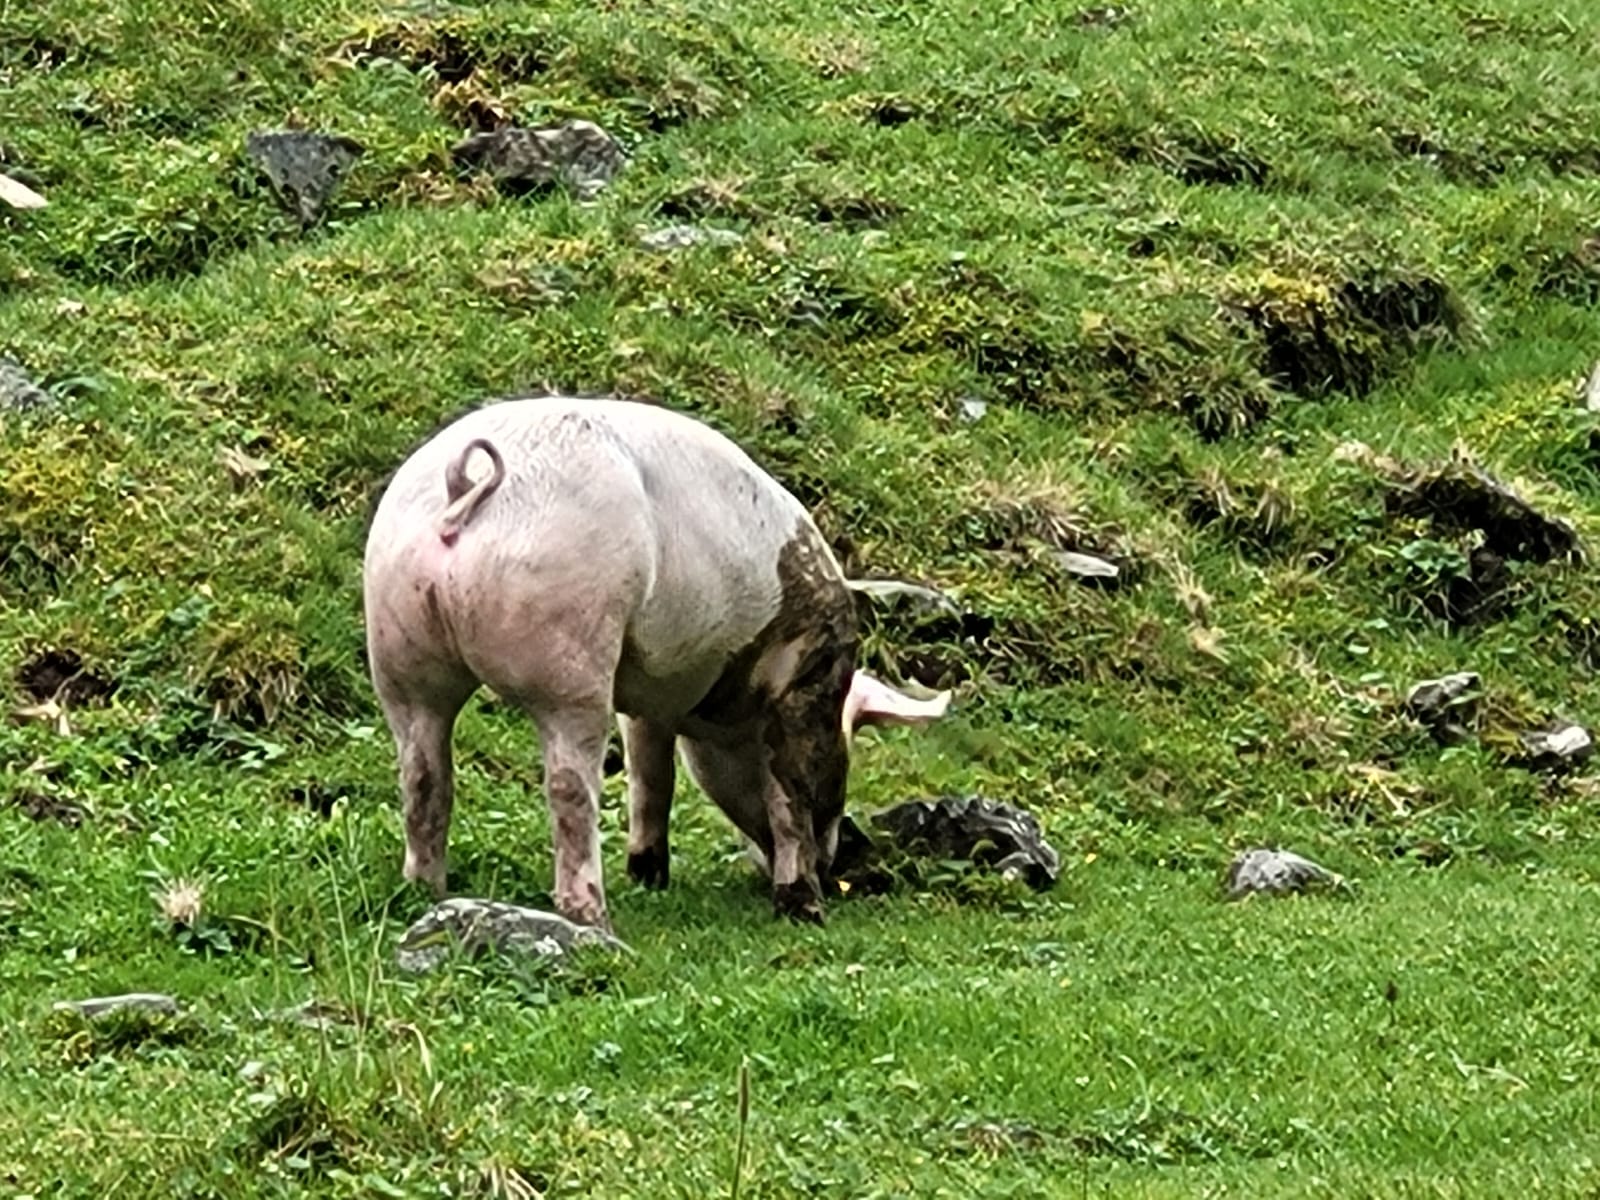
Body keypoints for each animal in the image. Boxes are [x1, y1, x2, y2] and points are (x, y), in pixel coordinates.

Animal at [362, 394, 949, 932]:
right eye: (845, 743)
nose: (837, 864)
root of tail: (466, 490)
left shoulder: (652, 695)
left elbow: (652, 779)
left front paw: (650, 876)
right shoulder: (800, 678)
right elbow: (789, 793)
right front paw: (803, 907)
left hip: (398, 647)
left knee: (423, 773)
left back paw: (426, 890)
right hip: (569, 650)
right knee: (569, 787)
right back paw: (591, 919)